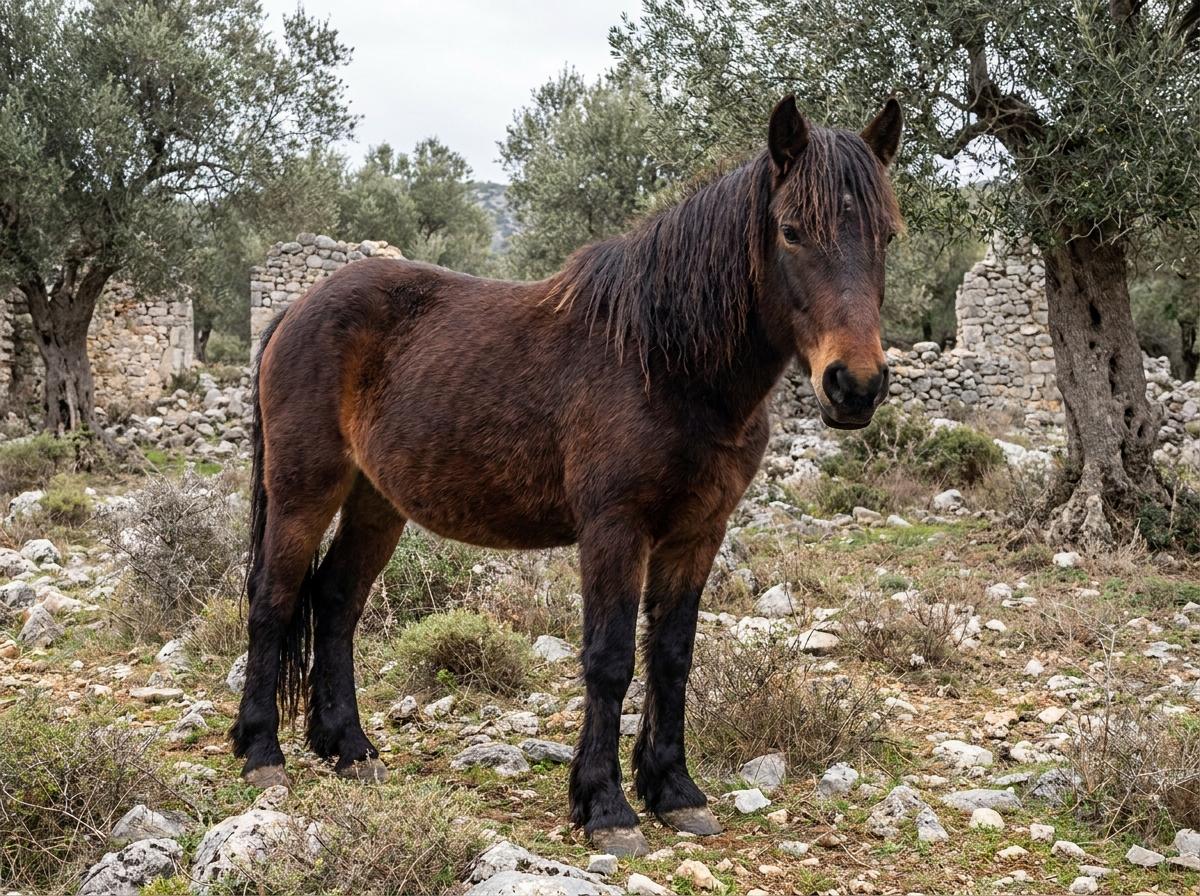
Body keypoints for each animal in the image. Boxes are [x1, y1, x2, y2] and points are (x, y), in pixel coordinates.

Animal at [230, 95, 902, 856]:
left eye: (886, 234)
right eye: (791, 231)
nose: (855, 386)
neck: (665, 360)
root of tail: (297, 308)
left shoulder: (698, 533)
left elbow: (672, 656)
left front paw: (675, 792)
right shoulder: (614, 529)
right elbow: (610, 660)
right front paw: (606, 807)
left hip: (377, 502)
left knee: (337, 601)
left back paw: (348, 748)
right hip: (304, 491)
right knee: (274, 598)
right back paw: (263, 754)